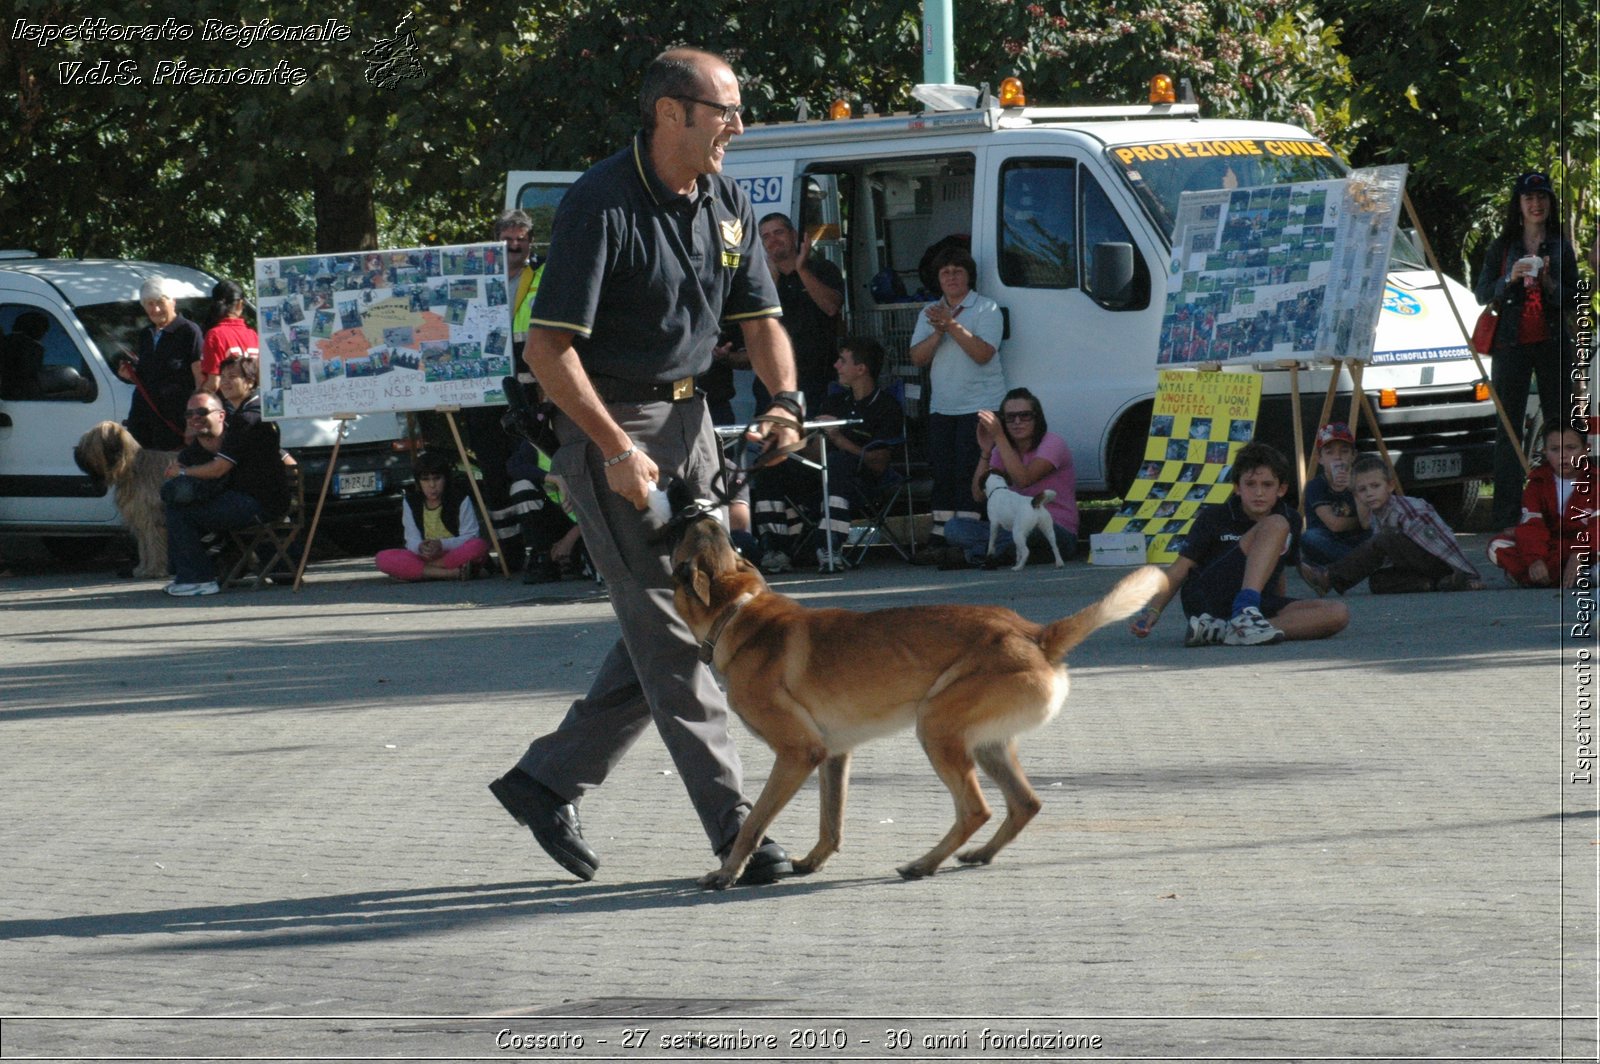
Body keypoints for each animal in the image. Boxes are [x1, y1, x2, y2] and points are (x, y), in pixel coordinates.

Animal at [74, 419, 172, 576]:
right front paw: (142, 569)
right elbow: (144, 546)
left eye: (88, 443)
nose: (75, 451)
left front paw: (154, 570)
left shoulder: (151, 518)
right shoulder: (140, 519)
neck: (130, 467)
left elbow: (154, 544)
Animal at [665, 512, 1164, 883]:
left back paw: (924, 863)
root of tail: (1035, 635)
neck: (737, 612)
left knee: (976, 810)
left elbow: (753, 823)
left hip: (936, 729)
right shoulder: (834, 756)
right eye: (720, 537)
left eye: (685, 547)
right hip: (986, 746)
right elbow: (832, 820)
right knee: (1025, 803)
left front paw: (728, 872)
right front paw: (813, 861)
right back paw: (977, 855)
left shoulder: (797, 754)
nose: (696, 508)